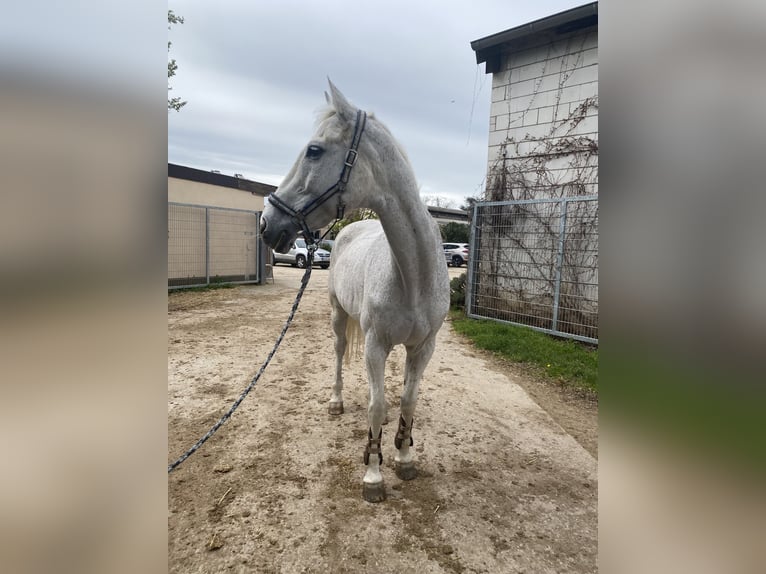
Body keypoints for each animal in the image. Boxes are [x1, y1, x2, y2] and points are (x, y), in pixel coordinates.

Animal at [262, 82, 450, 504]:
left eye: (314, 150)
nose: (266, 224)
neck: (413, 275)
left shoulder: (423, 347)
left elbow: (408, 400)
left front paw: (404, 456)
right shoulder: (375, 345)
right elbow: (376, 407)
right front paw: (373, 475)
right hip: (338, 318)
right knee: (337, 354)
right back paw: (336, 402)